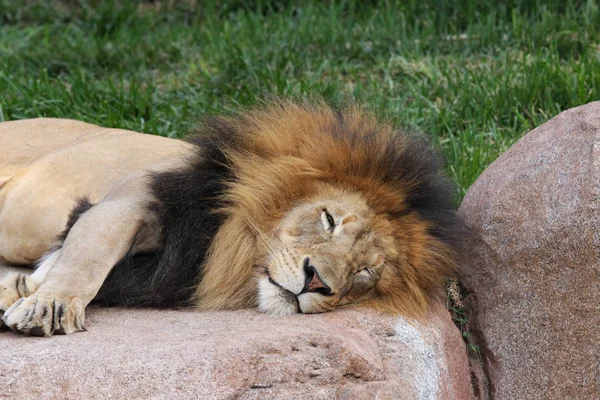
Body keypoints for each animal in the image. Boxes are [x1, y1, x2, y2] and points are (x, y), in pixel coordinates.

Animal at [0, 101, 460, 336]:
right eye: (329, 220)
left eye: (366, 272)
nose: (317, 283)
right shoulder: (133, 199)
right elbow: (87, 259)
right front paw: (48, 305)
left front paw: (23, 292)